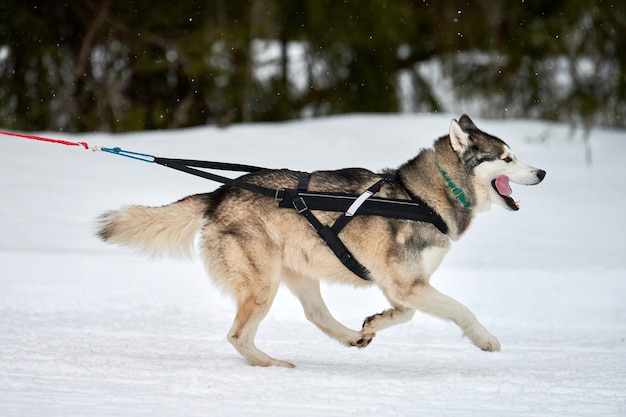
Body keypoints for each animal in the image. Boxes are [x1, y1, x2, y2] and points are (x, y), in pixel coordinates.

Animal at [96, 115, 540, 366]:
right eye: (506, 158)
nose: (543, 173)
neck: (421, 198)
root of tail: (220, 193)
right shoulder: (409, 284)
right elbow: (461, 311)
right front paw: (486, 340)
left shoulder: (401, 286)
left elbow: (406, 314)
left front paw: (375, 322)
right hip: (263, 286)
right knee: (237, 336)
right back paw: (272, 365)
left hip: (301, 273)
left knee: (315, 314)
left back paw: (349, 336)